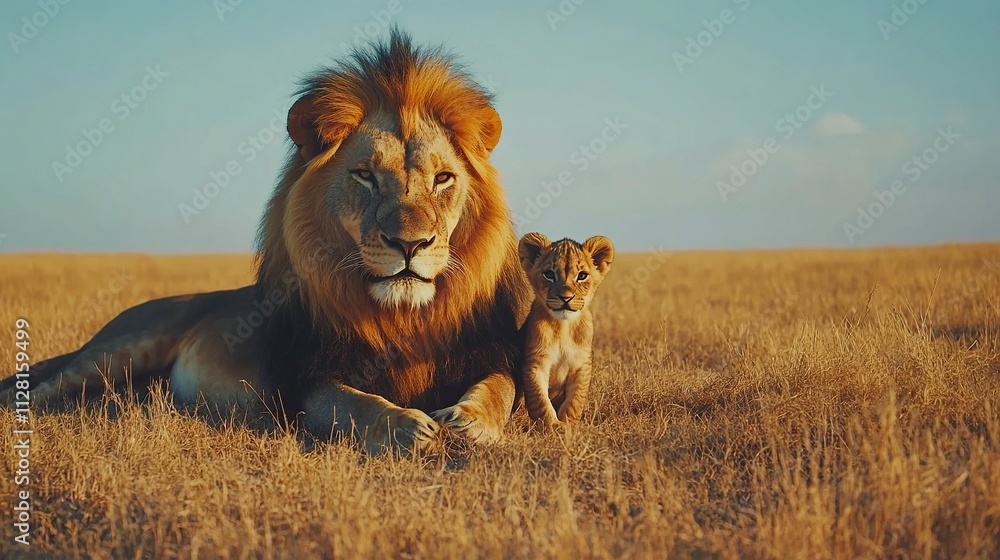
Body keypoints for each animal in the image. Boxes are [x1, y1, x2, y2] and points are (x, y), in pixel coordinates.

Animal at [0, 30, 531, 454]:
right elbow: (352, 404)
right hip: (122, 346)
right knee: (43, 386)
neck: (403, 318)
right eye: (364, 175)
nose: (410, 244)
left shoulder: (488, 351)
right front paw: (405, 426)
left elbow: (501, 388)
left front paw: (468, 421)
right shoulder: (302, 383)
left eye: (443, 178)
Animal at [517, 233, 614, 426]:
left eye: (582, 276)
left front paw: (568, 425)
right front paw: (552, 426)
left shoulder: (581, 364)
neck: (563, 327)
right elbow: (540, 401)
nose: (566, 298)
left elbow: (574, 401)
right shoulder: (535, 363)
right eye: (549, 274)